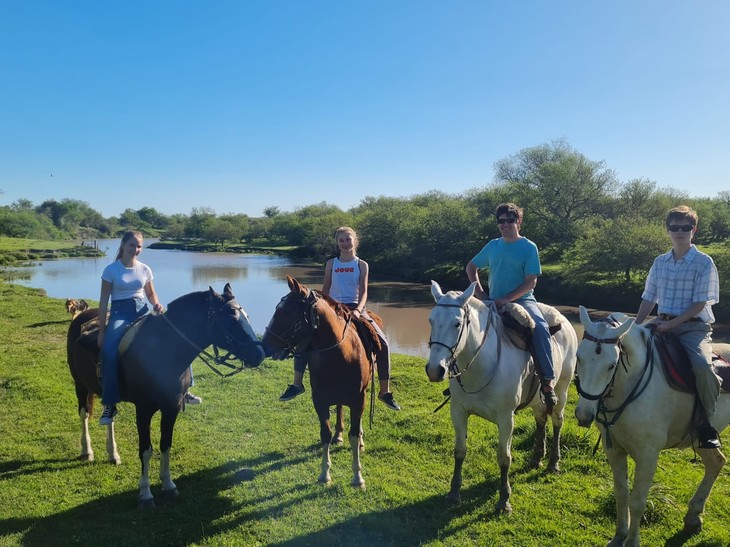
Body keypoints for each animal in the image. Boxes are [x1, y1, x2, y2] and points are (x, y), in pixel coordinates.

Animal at [66, 284, 264, 508]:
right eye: (231, 319)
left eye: (246, 316)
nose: (259, 354)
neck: (163, 351)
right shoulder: (143, 411)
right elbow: (145, 449)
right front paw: (145, 494)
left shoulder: (171, 408)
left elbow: (165, 445)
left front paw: (168, 485)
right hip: (80, 385)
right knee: (84, 415)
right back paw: (87, 451)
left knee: (110, 418)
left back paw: (112, 453)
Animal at [262, 276, 378, 490]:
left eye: (287, 311)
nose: (264, 345)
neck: (341, 355)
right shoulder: (320, 400)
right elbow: (325, 433)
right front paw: (325, 474)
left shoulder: (358, 399)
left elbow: (354, 434)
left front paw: (358, 477)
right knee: (339, 409)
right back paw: (339, 435)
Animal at [426, 280, 576, 516]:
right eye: (431, 320)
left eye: (457, 324)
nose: (435, 370)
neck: (481, 365)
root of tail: (564, 321)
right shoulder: (458, 411)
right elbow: (460, 451)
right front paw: (454, 492)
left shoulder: (506, 419)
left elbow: (504, 458)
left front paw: (504, 500)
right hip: (537, 400)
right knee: (541, 419)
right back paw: (536, 458)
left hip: (561, 391)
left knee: (557, 422)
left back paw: (553, 462)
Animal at [576, 308, 728, 547]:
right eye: (578, 357)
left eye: (612, 365)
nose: (583, 415)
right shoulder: (614, 450)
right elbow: (621, 493)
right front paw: (619, 536)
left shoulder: (648, 455)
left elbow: (638, 501)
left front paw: (632, 541)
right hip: (701, 439)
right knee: (716, 463)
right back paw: (693, 517)